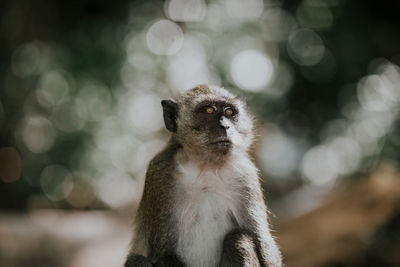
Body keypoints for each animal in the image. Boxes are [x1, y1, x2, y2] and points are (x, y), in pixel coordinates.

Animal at [124, 84, 282, 267]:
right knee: (137, 260)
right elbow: (164, 253)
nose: (225, 126)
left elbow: (260, 241)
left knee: (239, 239)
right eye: (209, 110)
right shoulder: (159, 173)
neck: (205, 167)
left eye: (229, 112)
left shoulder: (245, 174)